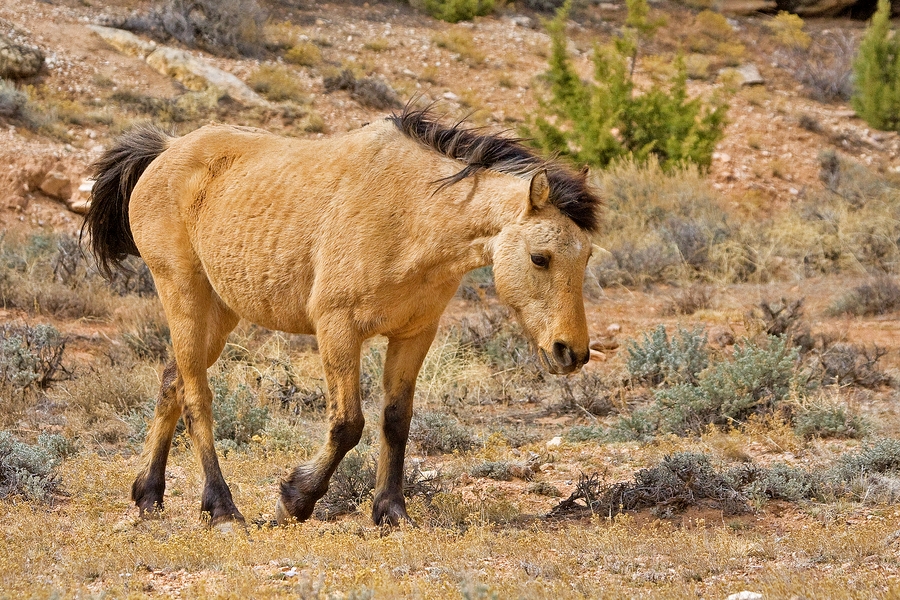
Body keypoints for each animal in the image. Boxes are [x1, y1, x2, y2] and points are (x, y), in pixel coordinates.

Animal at [84, 105, 600, 528]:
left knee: (172, 381)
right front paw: (294, 501)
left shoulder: (415, 333)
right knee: (196, 398)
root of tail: (166, 150)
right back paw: (223, 509)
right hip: (183, 293)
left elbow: (396, 420)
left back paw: (148, 496)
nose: (570, 352)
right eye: (540, 258)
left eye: (587, 256)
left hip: (219, 311)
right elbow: (348, 424)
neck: (413, 211)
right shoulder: (337, 329)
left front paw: (392, 512)